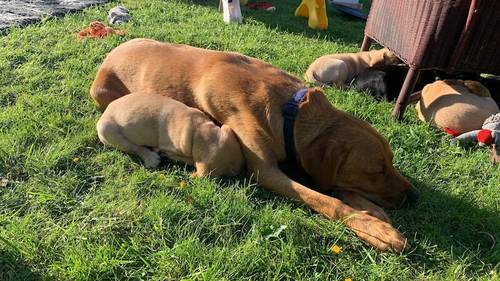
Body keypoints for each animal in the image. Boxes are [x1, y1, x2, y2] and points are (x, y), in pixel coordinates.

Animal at [96, 92, 244, 176]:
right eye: (229, 172)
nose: (239, 171)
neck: (198, 131)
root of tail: (105, 112)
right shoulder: (172, 148)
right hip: (107, 130)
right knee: (135, 147)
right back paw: (150, 157)